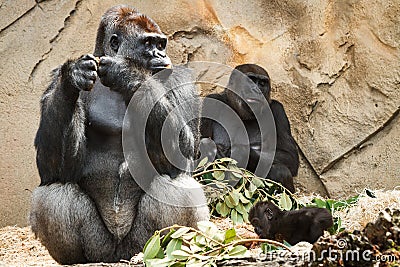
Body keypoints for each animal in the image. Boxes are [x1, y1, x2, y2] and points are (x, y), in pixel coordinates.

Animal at [29, 5, 208, 264]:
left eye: (161, 44)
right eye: (148, 43)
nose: (161, 55)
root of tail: (120, 256)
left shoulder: (181, 78)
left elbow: (182, 152)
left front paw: (128, 74)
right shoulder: (54, 78)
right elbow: (53, 167)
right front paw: (72, 76)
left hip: (141, 244)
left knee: (176, 184)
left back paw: (169, 251)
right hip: (100, 249)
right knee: (54, 191)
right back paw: (75, 259)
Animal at [202, 63, 298, 193]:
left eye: (262, 83)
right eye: (251, 80)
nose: (256, 90)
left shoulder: (278, 110)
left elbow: (290, 157)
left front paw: (241, 151)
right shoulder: (210, 102)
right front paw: (210, 148)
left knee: (280, 171)